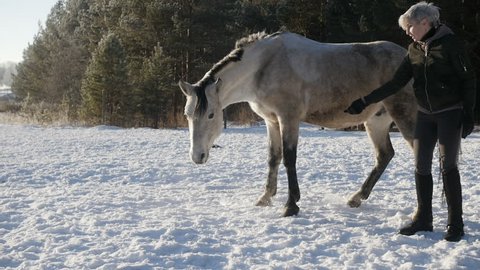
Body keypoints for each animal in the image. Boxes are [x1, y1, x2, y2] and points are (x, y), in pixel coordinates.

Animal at [178, 31, 414, 217]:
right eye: (187, 115)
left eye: (211, 115)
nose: (197, 156)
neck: (263, 67)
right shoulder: (271, 121)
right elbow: (273, 158)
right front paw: (265, 198)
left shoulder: (288, 118)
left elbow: (289, 159)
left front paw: (290, 205)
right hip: (376, 121)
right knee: (384, 155)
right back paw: (356, 198)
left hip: (404, 116)